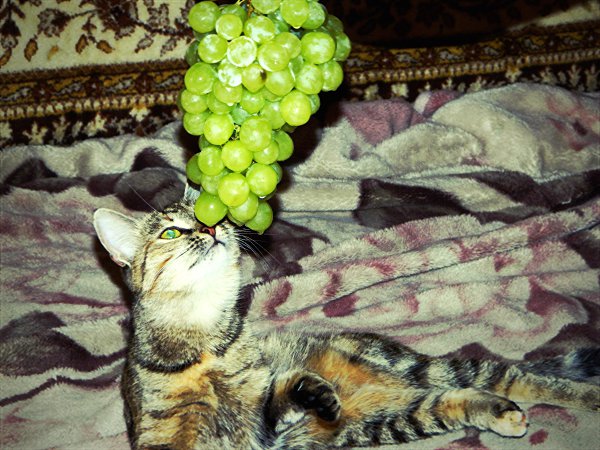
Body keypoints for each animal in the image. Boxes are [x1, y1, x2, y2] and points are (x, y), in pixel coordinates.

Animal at [93, 188, 599, 450]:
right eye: (172, 232)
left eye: (210, 214)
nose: (212, 226)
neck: (204, 340)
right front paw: (317, 392)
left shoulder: (262, 415)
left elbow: (282, 391)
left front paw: (315, 390)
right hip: (401, 417)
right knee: (458, 397)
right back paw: (500, 414)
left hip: (410, 367)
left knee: (511, 375)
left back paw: (585, 396)